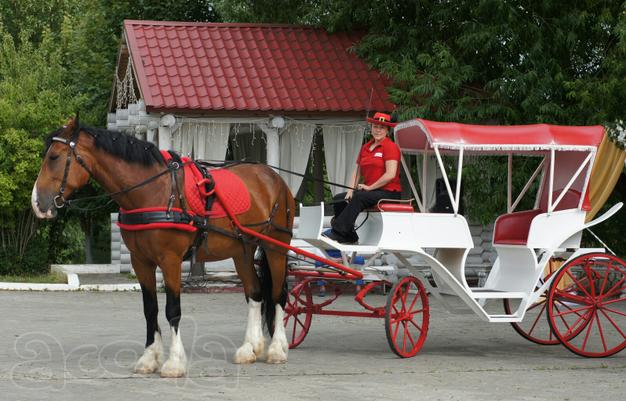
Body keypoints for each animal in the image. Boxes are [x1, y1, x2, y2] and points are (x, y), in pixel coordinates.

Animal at [33, 117, 296, 376]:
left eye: (54, 157)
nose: (37, 203)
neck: (153, 191)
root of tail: (274, 178)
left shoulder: (170, 261)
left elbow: (172, 309)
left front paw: (174, 362)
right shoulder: (141, 262)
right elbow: (150, 309)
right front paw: (149, 358)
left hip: (276, 247)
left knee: (278, 294)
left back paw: (277, 349)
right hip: (242, 251)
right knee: (255, 293)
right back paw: (249, 348)